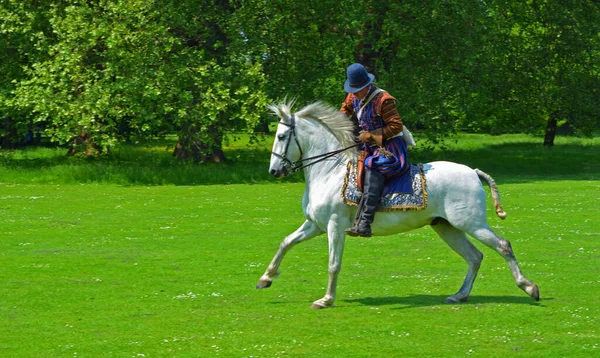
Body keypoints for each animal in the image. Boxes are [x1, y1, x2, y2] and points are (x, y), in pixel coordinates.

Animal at [256, 100, 540, 308]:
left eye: (281, 136)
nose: (274, 171)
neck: (329, 170)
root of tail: (472, 172)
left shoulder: (334, 226)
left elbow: (333, 264)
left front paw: (326, 300)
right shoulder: (315, 224)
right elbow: (286, 243)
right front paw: (265, 278)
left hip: (472, 223)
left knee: (502, 246)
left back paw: (529, 287)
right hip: (447, 227)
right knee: (474, 256)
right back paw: (460, 295)